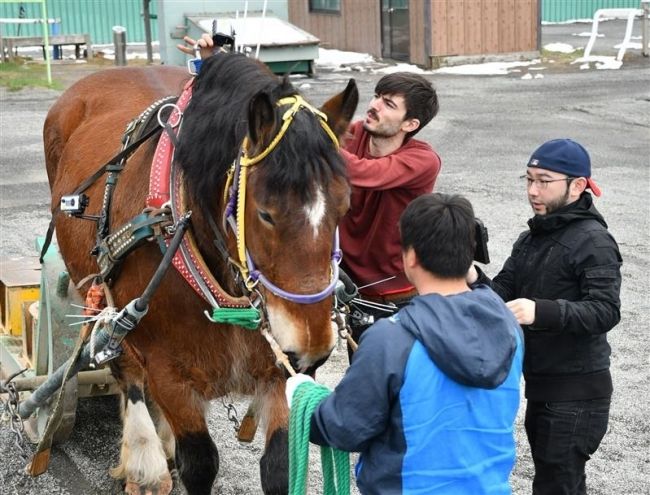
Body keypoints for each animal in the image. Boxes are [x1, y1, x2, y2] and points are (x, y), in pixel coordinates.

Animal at [43, 52, 356, 494]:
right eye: (265, 213)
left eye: (346, 205)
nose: (311, 348)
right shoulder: (167, 371)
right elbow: (200, 463)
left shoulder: (278, 370)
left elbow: (280, 466)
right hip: (106, 299)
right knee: (125, 368)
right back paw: (144, 460)